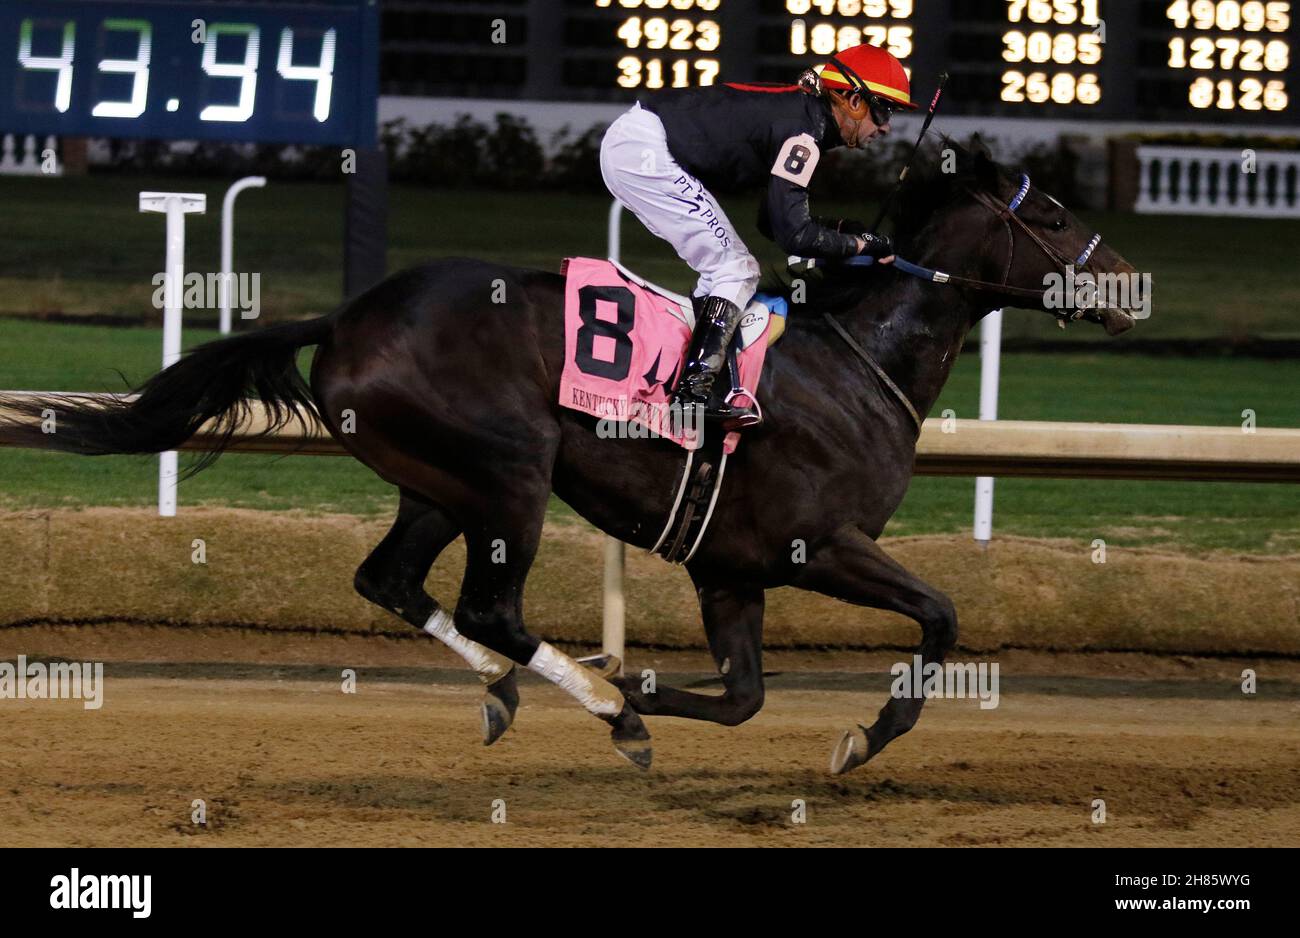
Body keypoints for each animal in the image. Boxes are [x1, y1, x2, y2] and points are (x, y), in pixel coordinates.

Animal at [0, 139, 1138, 769]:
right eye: (1049, 213)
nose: (1127, 285)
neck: (855, 365)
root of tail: (350, 315)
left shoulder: (730, 567)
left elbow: (745, 696)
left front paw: (658, 695)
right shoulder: (820, 542)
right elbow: (939, 615)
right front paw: (857, 735)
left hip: (438, 481)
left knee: (391, 580)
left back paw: (518, 693)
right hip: (512, 472)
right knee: (487, 607)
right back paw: (599, 705)